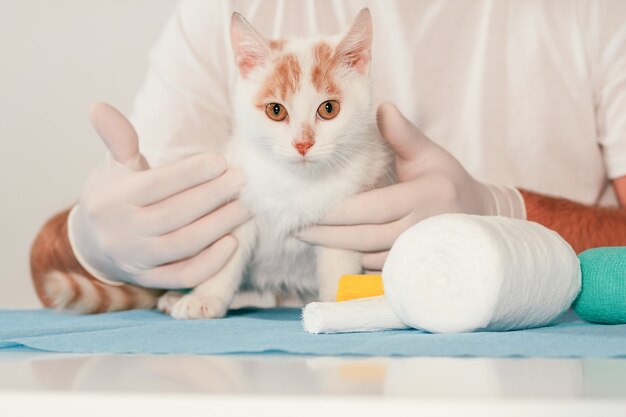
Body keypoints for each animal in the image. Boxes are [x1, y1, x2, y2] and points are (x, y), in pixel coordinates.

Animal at [157, 8, 390, 316]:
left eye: (329, 109)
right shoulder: (239, 196)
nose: (302, 143)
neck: (296, 182)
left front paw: (338, 307)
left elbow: (339, 262)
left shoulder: (348, 210)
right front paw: (205, 297)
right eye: (276, 110)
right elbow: (227, 252)